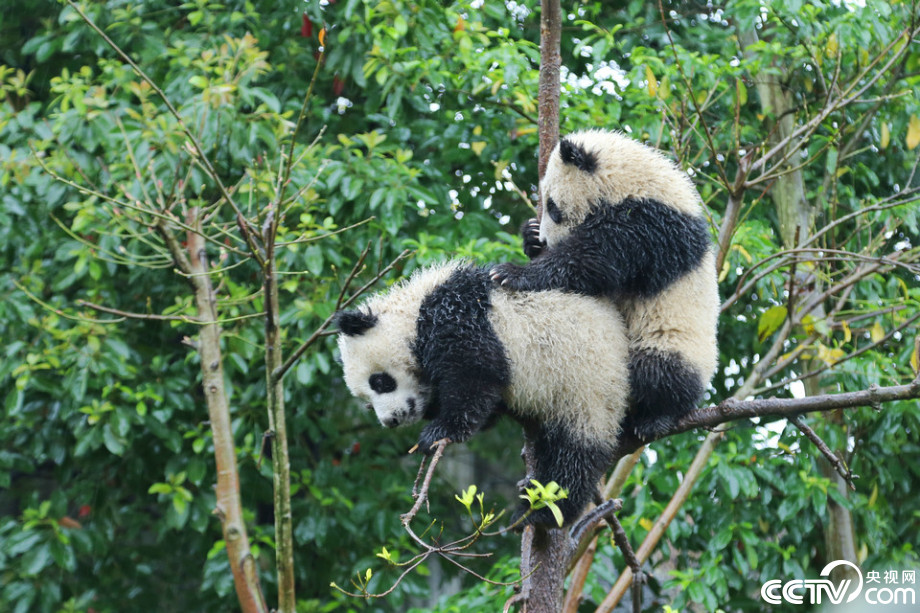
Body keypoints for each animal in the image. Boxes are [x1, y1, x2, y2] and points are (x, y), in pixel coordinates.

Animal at [338, 260, 632, 524]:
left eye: (380, 382)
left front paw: (438, 431)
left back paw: (542, 511)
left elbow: (475, 375)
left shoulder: (457, 317)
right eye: (366, 400)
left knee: (574, 452)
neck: (412, 310)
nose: (392, 419)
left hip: (584, 381)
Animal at [492, 131, 724, 442]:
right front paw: (530, 236)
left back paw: (656, 417)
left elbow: (593, 259)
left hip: (676, 339)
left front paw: (511, 273)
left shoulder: (650, 226)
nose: (546, 240)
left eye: (553, 207)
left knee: (659, 371)